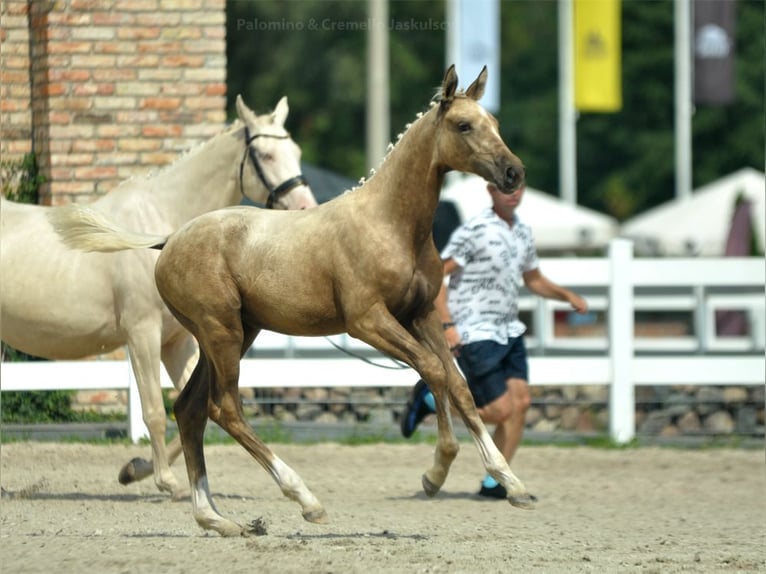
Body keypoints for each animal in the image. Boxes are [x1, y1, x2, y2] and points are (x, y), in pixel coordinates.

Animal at [0, 95, 316, 500]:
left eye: (296, 150)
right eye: (265, 154)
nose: (306, 207)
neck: (163, 228)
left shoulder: (177, 342)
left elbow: (195, 404)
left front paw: (134, 470)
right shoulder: (142, 334)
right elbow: (154, 410)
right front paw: (166, 481)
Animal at [51, 67, 536, 540]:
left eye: (494, 122)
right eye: (463, 125)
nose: (514, 173)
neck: (389, 225)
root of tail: (168, 240)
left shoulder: (422, 316)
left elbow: (458, 384)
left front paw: (513, 485)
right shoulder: (368, 321)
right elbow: (433, 370)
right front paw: (435, 473)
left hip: (233, 334)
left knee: (190, 410)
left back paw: (218, 519)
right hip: (221, 332)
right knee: (223, 409)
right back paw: (304, 499)